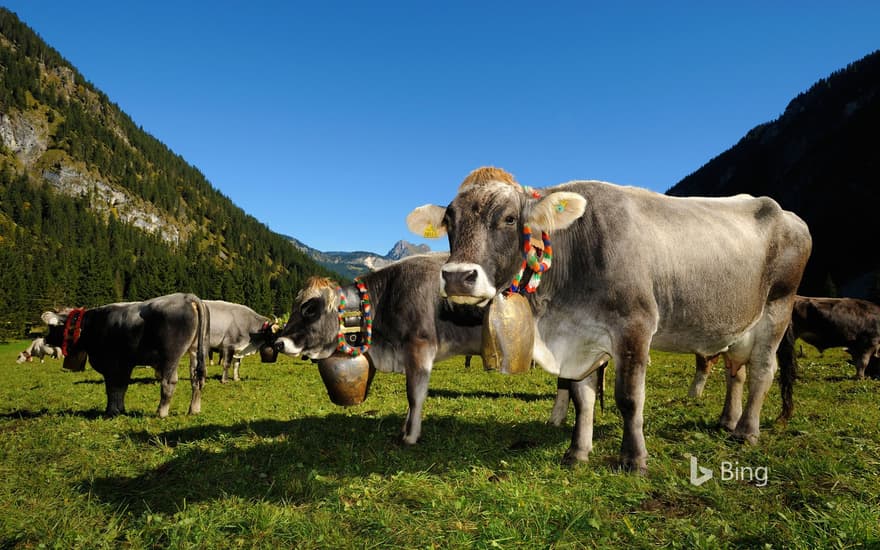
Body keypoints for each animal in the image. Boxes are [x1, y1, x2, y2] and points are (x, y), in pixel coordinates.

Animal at [42, 294, 211, 418]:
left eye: (52, 327)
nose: (45, 339)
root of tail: (186, 296)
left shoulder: (110, 363)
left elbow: (112, 388)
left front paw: (111, 411)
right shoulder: (125, 364)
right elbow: (121, 387)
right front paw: (120, 410)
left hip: (171, 355)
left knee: (169, 382)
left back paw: (161, 412)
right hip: (196, 350)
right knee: (197, 379)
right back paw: (194, 410)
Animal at [410, 166, 816, 472]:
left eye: (509, 218)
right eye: (449, 220)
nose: (457, 277)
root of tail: (786, 213)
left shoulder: (634, 327)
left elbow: (629, 398)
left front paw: (634, 459)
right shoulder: (581, 339)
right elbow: (583, 397)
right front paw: (577, 452)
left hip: (777, 308)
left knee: (762, 370)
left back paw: (746, 431)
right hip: (738, 322)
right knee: (737, 370)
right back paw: (727, 420)